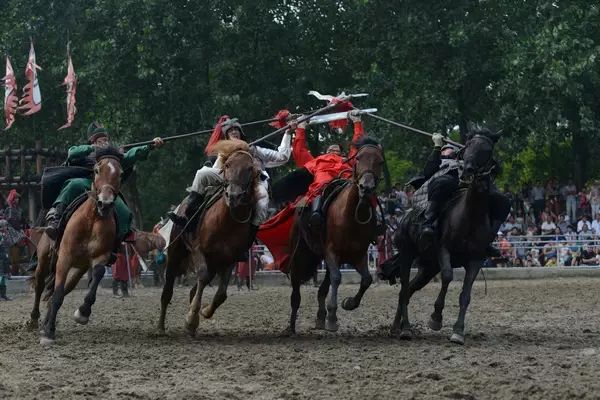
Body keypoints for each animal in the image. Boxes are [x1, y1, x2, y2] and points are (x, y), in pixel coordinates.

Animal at [29, 147, 125, 344]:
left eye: (121, 174)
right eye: (96, 170)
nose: (105, 203)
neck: (93, 218)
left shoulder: (99, 257)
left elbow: (97, 275)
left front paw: (83, 312)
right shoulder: (64, 258)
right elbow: (57, 294)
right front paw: (49, 333)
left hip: (78, 269)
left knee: (62, 289)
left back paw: (45, 324)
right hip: (45, 260)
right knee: (40, 285)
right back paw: (34, 320)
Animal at [157, 139, 258, 336]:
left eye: (250, 168)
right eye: (227, 165)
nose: (234, 195)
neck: (225, 223)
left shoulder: (229, 260)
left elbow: (221, 294)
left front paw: (202, 312)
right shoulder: (198, 251)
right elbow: (202, 278)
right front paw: (191, 319)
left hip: (214, 263)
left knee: (194, 290)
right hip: (175, 254)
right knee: (167, 291)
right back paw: (160, 327)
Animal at [288, 139, 382, 332]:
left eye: (380, 162)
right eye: (359, 158)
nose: (366, 188)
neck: (350, 216)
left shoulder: (358, 255)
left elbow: (367, 279)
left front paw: (349, 303)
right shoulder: (331, 251)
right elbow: (337, 278)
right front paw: (332, 316)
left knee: (323, 287)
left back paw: (320, 317)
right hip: (299, 255)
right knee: (296, 290)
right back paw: (292, 327)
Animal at [380, 127, 506, 344]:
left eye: (487, 150)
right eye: (468, 145)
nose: (468, 170)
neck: (469, 217)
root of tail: (405, 217)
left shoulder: (475, 259)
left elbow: (465, 294)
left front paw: (458, 331)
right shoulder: (443, 249)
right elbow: (447, 277)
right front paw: (436, 318)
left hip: (428, 267)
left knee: (409, 290)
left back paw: (397, 327)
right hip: (407, 255)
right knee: (404, 288)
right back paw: (405, 329)